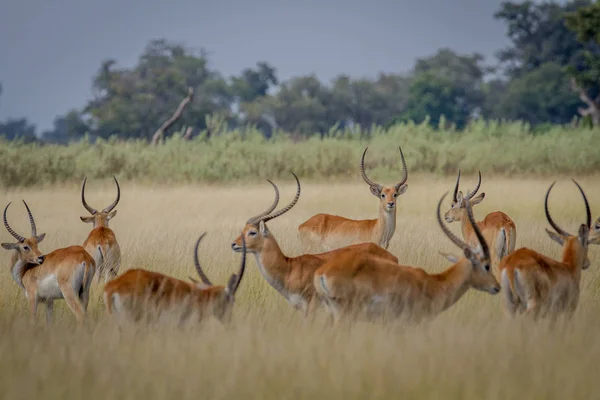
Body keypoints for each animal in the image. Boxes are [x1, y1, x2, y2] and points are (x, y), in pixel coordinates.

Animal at [232, 173, 400, 318]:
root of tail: (393, 258)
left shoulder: (311, 306)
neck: (289, 267)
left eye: (252, 232)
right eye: (243, 229)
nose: (234, 244)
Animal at [496, 180, 600, 318]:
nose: (587, 263)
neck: (568, 267)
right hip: (533, 304)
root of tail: (511, 265)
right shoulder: (565, 311)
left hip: (510, 306)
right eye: (587, 243)